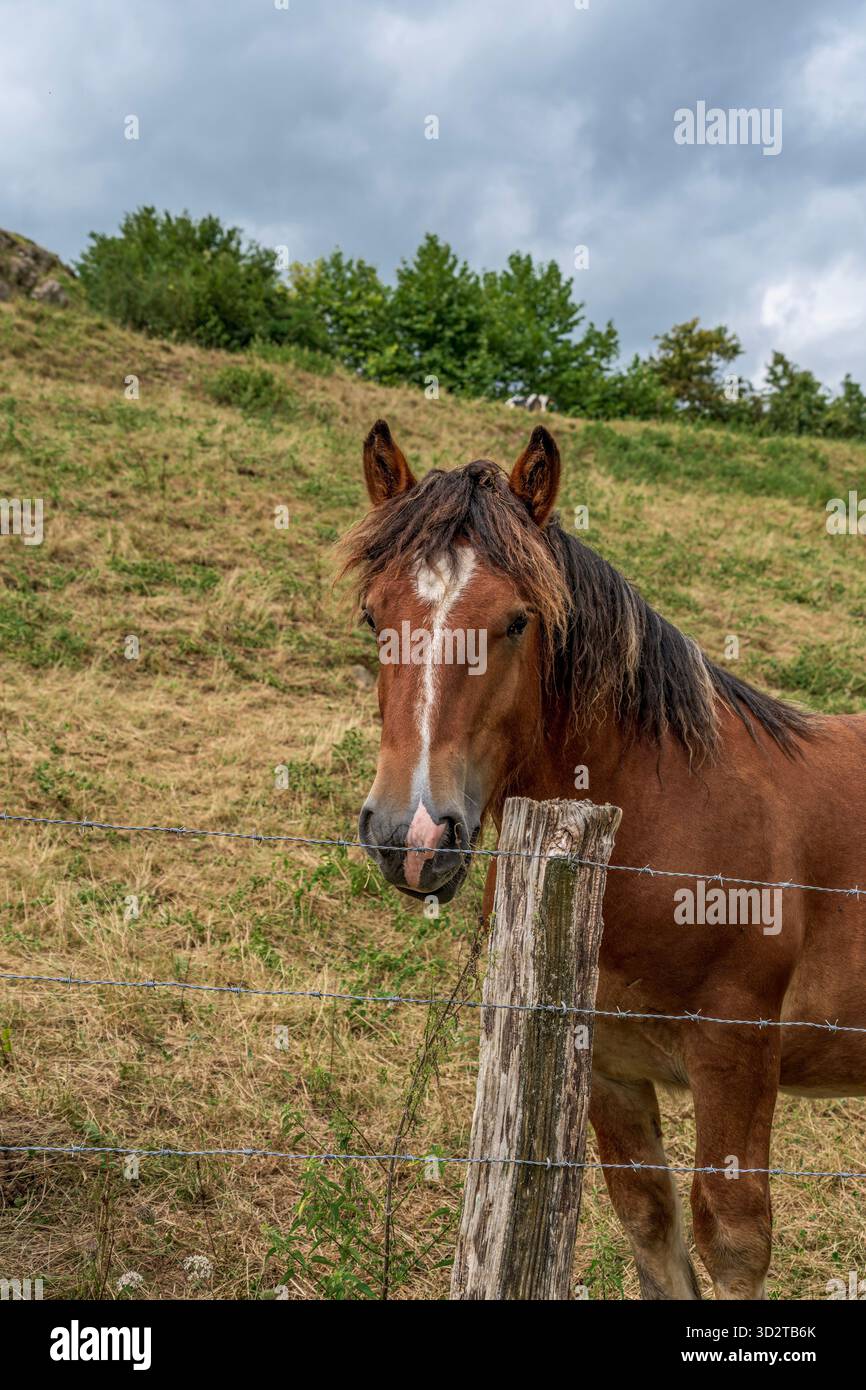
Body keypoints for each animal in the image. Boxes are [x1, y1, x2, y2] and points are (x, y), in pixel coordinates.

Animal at [340, 417, 866, 1300]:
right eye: (371, 615)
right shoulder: (610, 1068)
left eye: (518, 621)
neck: (660, 821)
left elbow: (734, 1237)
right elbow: (650, 1222)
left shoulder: (736, 1053)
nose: (412, 835)